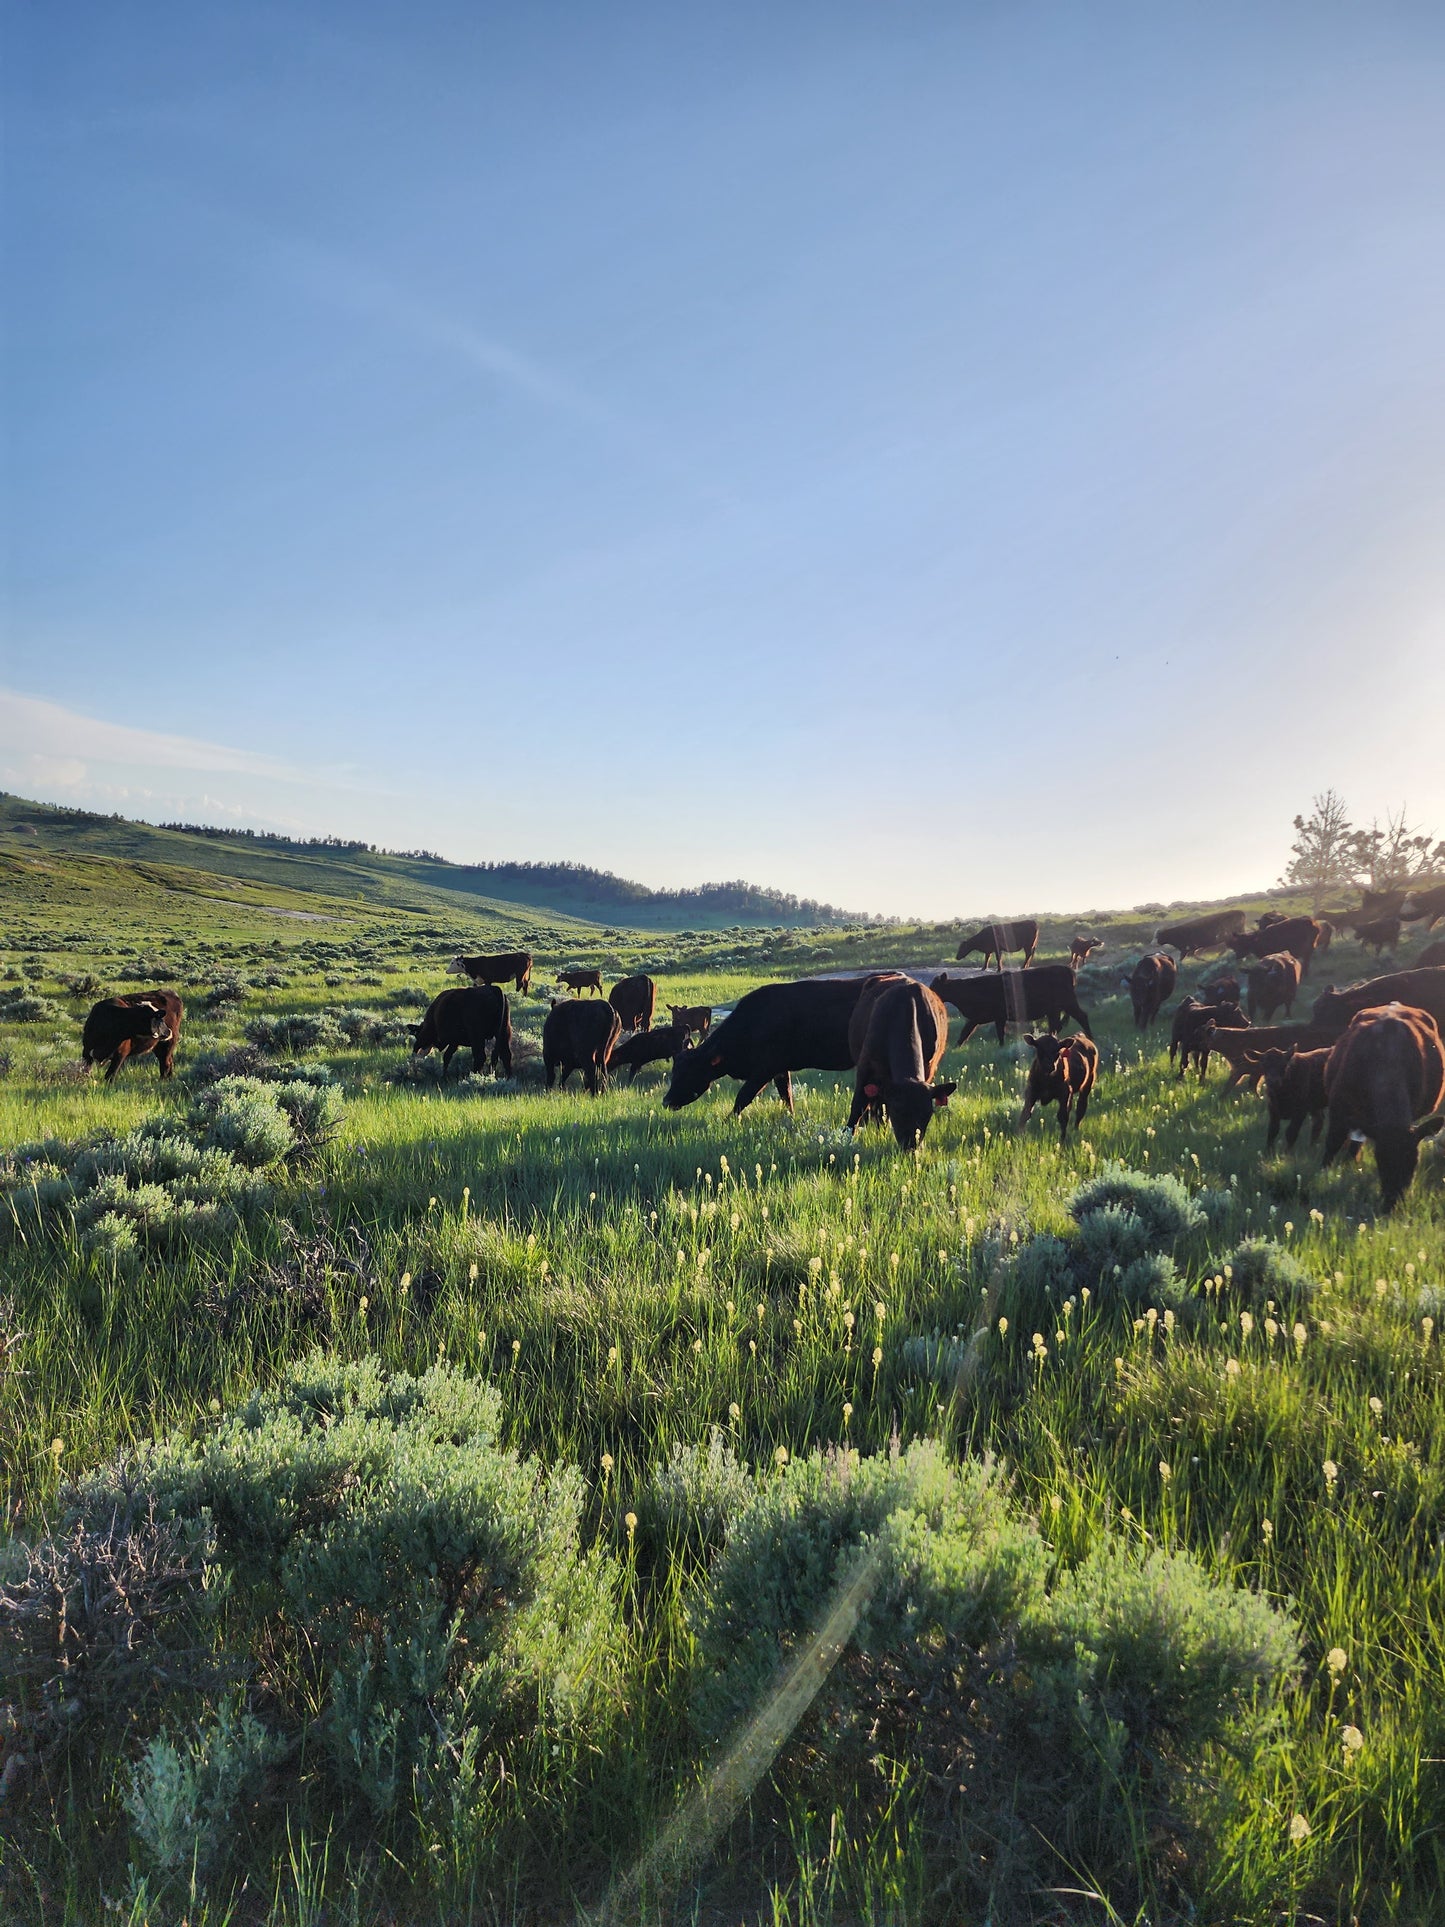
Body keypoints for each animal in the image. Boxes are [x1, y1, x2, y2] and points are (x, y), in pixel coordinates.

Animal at [662, 978, 867, 1117]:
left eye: (688, 1073)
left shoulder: (765, 1069)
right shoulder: (781, 1070)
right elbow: (786, 1096)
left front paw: (728, 1121)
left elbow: (743, 1096)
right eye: (674, 1071)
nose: (666, 1101)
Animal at [843, 978, 955, 1140]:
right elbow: (857, 1107)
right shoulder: (865, 1067)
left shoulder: (928, 1069)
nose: (911, 1144)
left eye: (928, 1114)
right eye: (898, 1110)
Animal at [932, 971, 1094, 1048]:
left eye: (935, 986)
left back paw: (1090, 1037)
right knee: (1055, 1025)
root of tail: (1069, 970)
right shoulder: (977, 1018)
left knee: (1082, 1016)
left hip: (1068, 1003)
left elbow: (1000, 1033)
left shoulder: (998, 1016)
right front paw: (954, 1047)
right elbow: (964, 1033)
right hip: (1054, 1010)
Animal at [1325, 1009, 1445, 1202]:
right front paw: (1324, 1175)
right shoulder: (1338, 1108)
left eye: (1414, 1160)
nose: (1393, 1200)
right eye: (1379, 1158)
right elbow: (1332, 1144)